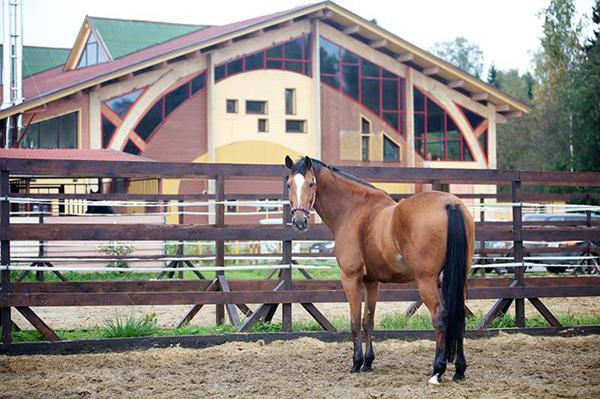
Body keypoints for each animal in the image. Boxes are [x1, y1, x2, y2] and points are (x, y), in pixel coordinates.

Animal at [284, 156, 476, 384]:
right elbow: (368, 320)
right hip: (459, 278)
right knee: (458, 317)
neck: (354, 210)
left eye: (311, 184)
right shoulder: (371, 281)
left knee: (440, 317)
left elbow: (354, 321)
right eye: (289, 185)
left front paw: (356, 363)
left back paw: (437, 371)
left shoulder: (351, 278)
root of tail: (450, 204)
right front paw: (368, 363)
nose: (299, 221)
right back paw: (459, 370)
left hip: (426, 280)